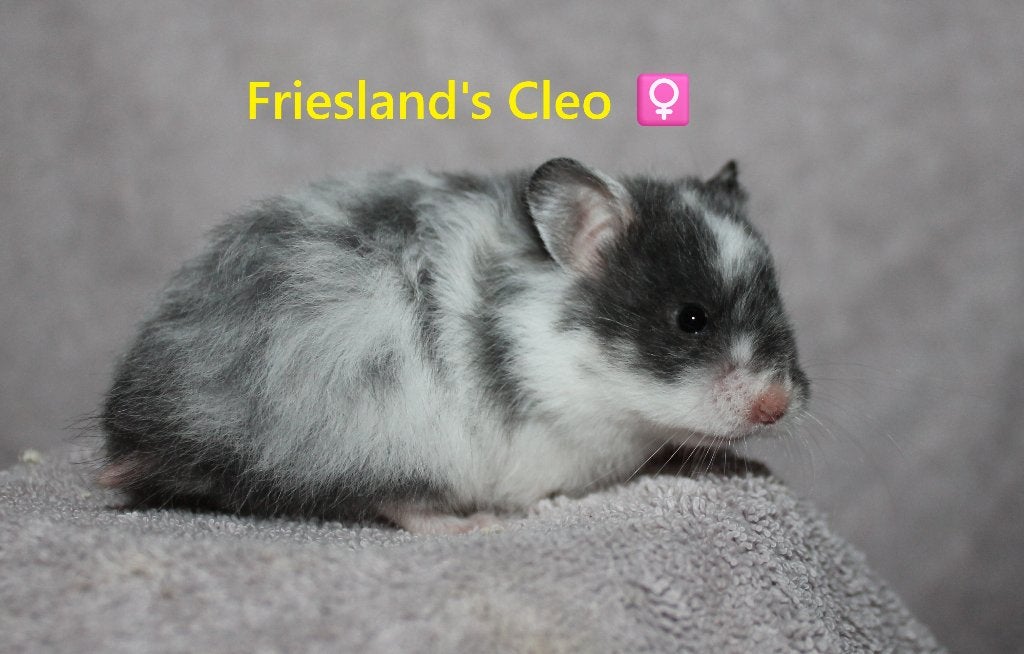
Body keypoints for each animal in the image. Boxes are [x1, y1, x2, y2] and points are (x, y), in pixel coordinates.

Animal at [97, 158, 809, 534]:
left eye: (780, 302)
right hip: (388, 435)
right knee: (392, 500)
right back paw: (476, 524)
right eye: (691, 319)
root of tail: (140, 428)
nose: (777, 406)